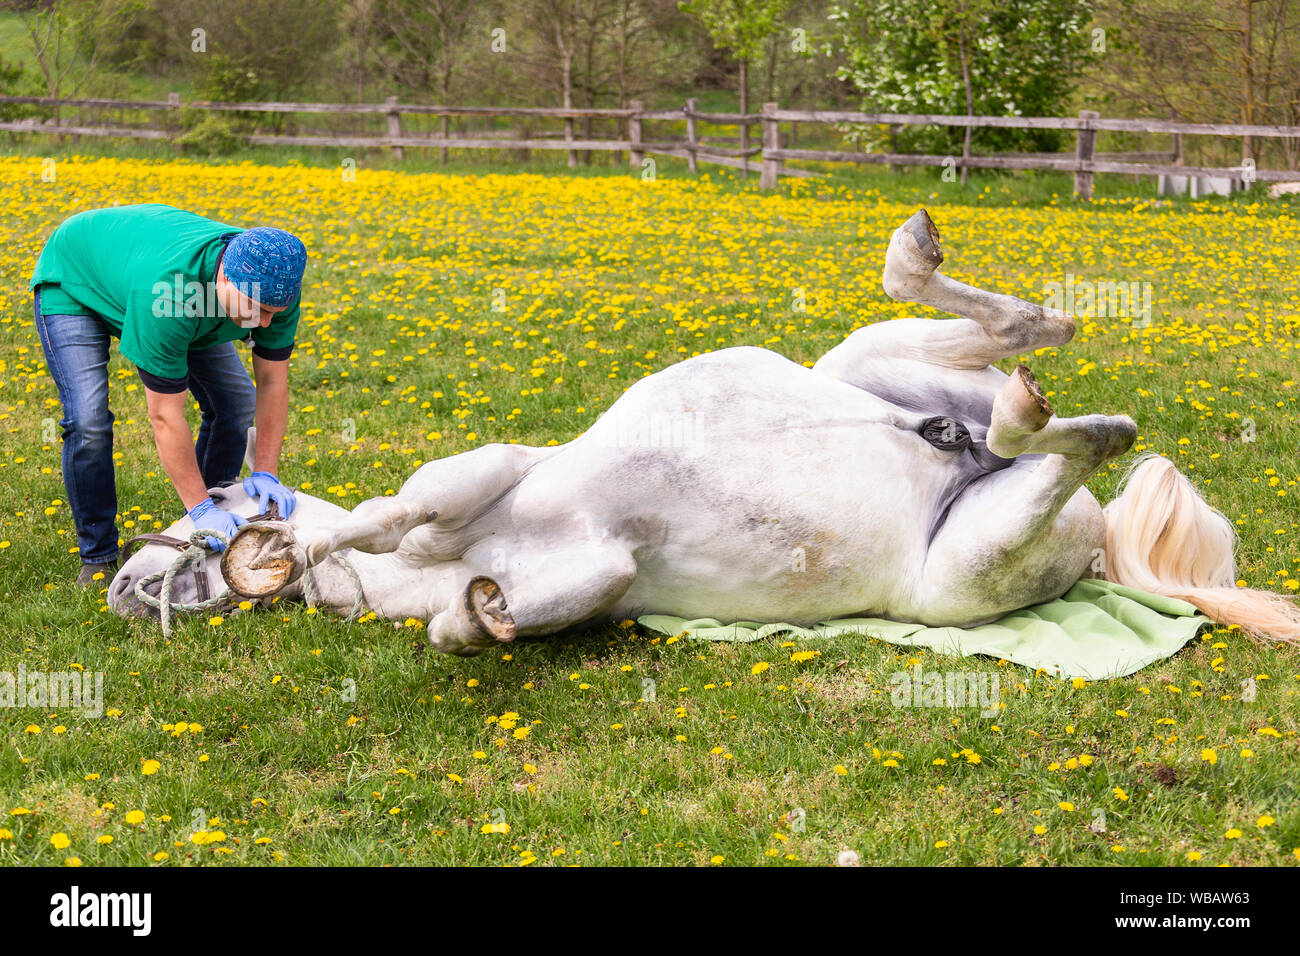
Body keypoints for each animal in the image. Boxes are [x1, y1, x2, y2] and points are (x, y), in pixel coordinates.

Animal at [111, 210, 1300, 655]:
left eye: (209, 503)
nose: (120, 583)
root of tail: (1098, 543)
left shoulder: (489, 473)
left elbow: (393, 512)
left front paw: (292, 545)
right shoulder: (602, 568)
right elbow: (482, 617)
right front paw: (481, 612)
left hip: (956, 544)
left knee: (1071, 399)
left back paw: (995, 377)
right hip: (921, 451)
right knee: (1063, 389)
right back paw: (1010, 402)